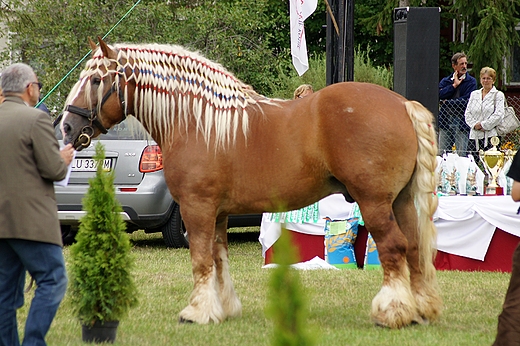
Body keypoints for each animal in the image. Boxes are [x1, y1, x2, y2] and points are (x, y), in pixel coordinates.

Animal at [61, 37, 442, 328]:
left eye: (95, 80)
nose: (66, 127)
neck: (197, 122)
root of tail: (402, 104)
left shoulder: (197, 208)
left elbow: (201, 259)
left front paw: (196, 312)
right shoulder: (218, 213)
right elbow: (219, 258)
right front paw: (223, 308)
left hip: (374, 202)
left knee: (394, 247)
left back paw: (392, 312)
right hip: (400, 202)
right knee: (414, 248)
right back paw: (420, 310)